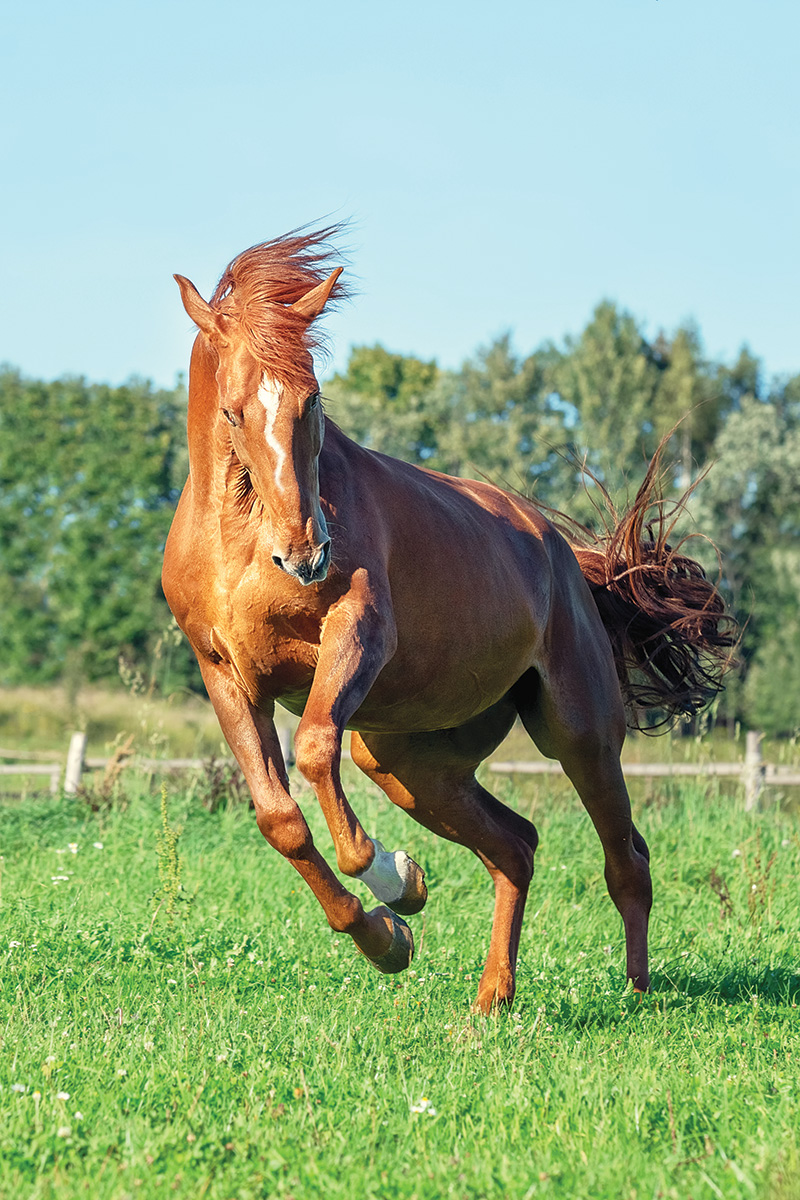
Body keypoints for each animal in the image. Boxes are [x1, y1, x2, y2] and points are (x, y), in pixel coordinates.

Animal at [164, 226, 738, 1012]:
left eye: (313, 401)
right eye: (232, 411)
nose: (305, 555)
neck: (240, 544)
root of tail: (566, 558)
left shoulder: (361, 629)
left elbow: (314, 751)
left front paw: (395, 882)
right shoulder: (225, 673)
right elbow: (280, 819)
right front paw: (389, 935)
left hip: (581, 732)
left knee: (627, 858)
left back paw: (637, 993)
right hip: (408, 759)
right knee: (516, 845)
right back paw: (493, 997)